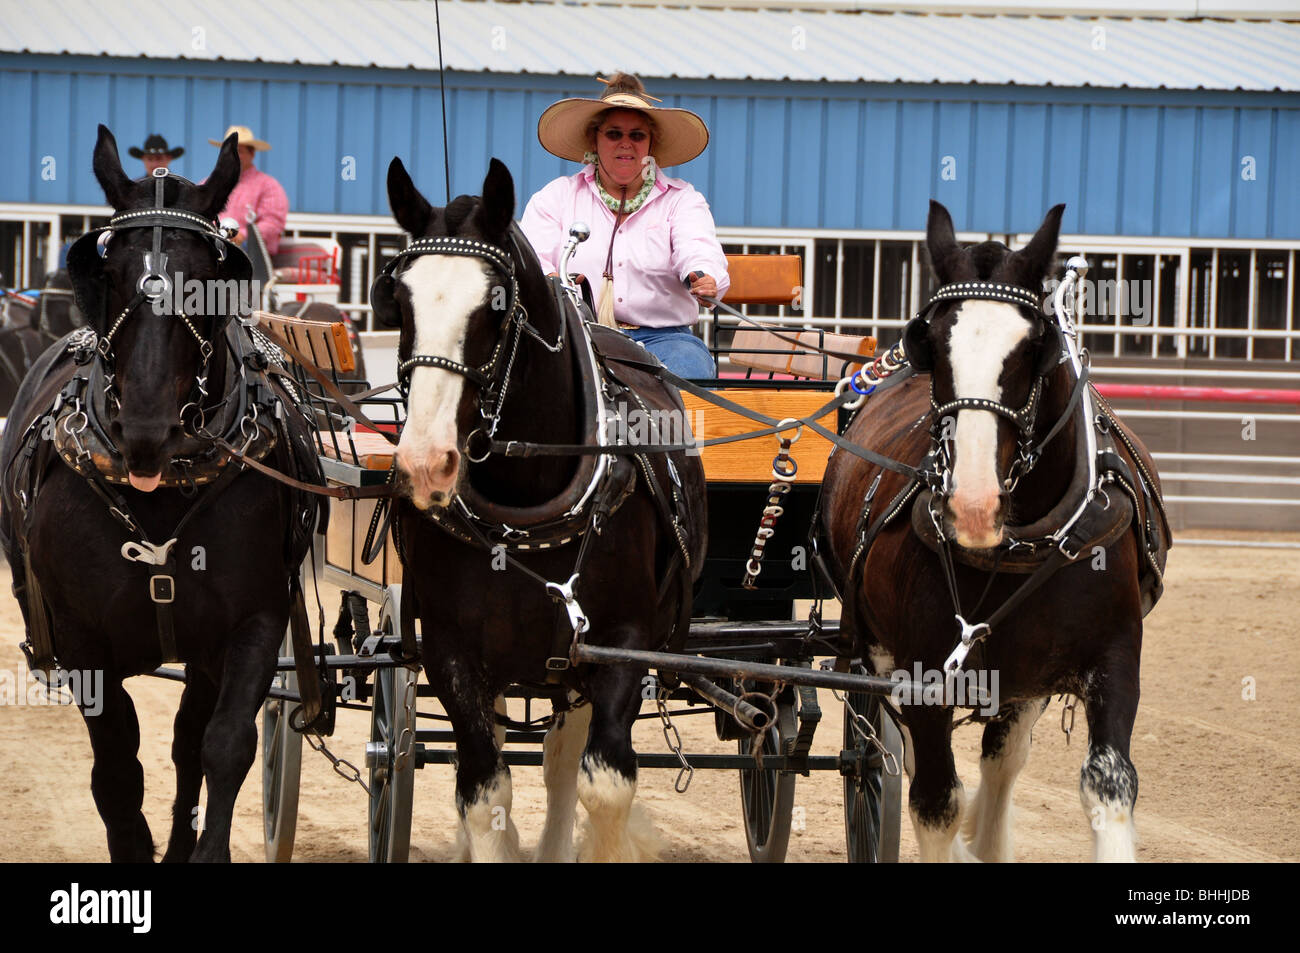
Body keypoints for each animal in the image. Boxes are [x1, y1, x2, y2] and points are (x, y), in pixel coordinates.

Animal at [0, 126, 322, 863]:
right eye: (110, 274)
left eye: (207, 278)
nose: (148, 430)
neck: (161, 491)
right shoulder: (82, 639)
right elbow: (117, 767)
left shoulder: (253, 622)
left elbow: (224, 746)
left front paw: (204, 849)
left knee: (188, 744)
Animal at [371, 157, 707, 863]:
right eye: (398, 300)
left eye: (495, 307)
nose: (425, 463)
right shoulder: (450, 648)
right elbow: (484, 790)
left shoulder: (619, 642)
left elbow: (601, 784)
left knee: (560, 759)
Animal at [821, 202, 1170, 863]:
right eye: (931, 342)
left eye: (1035, 346)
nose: (974, 506)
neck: (1020, 544)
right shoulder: (921, 677)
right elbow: (935, 802)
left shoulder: (1115, 659)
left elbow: (1109, 786)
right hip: (880, 656)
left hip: (1023, 675)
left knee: (1004, 757)